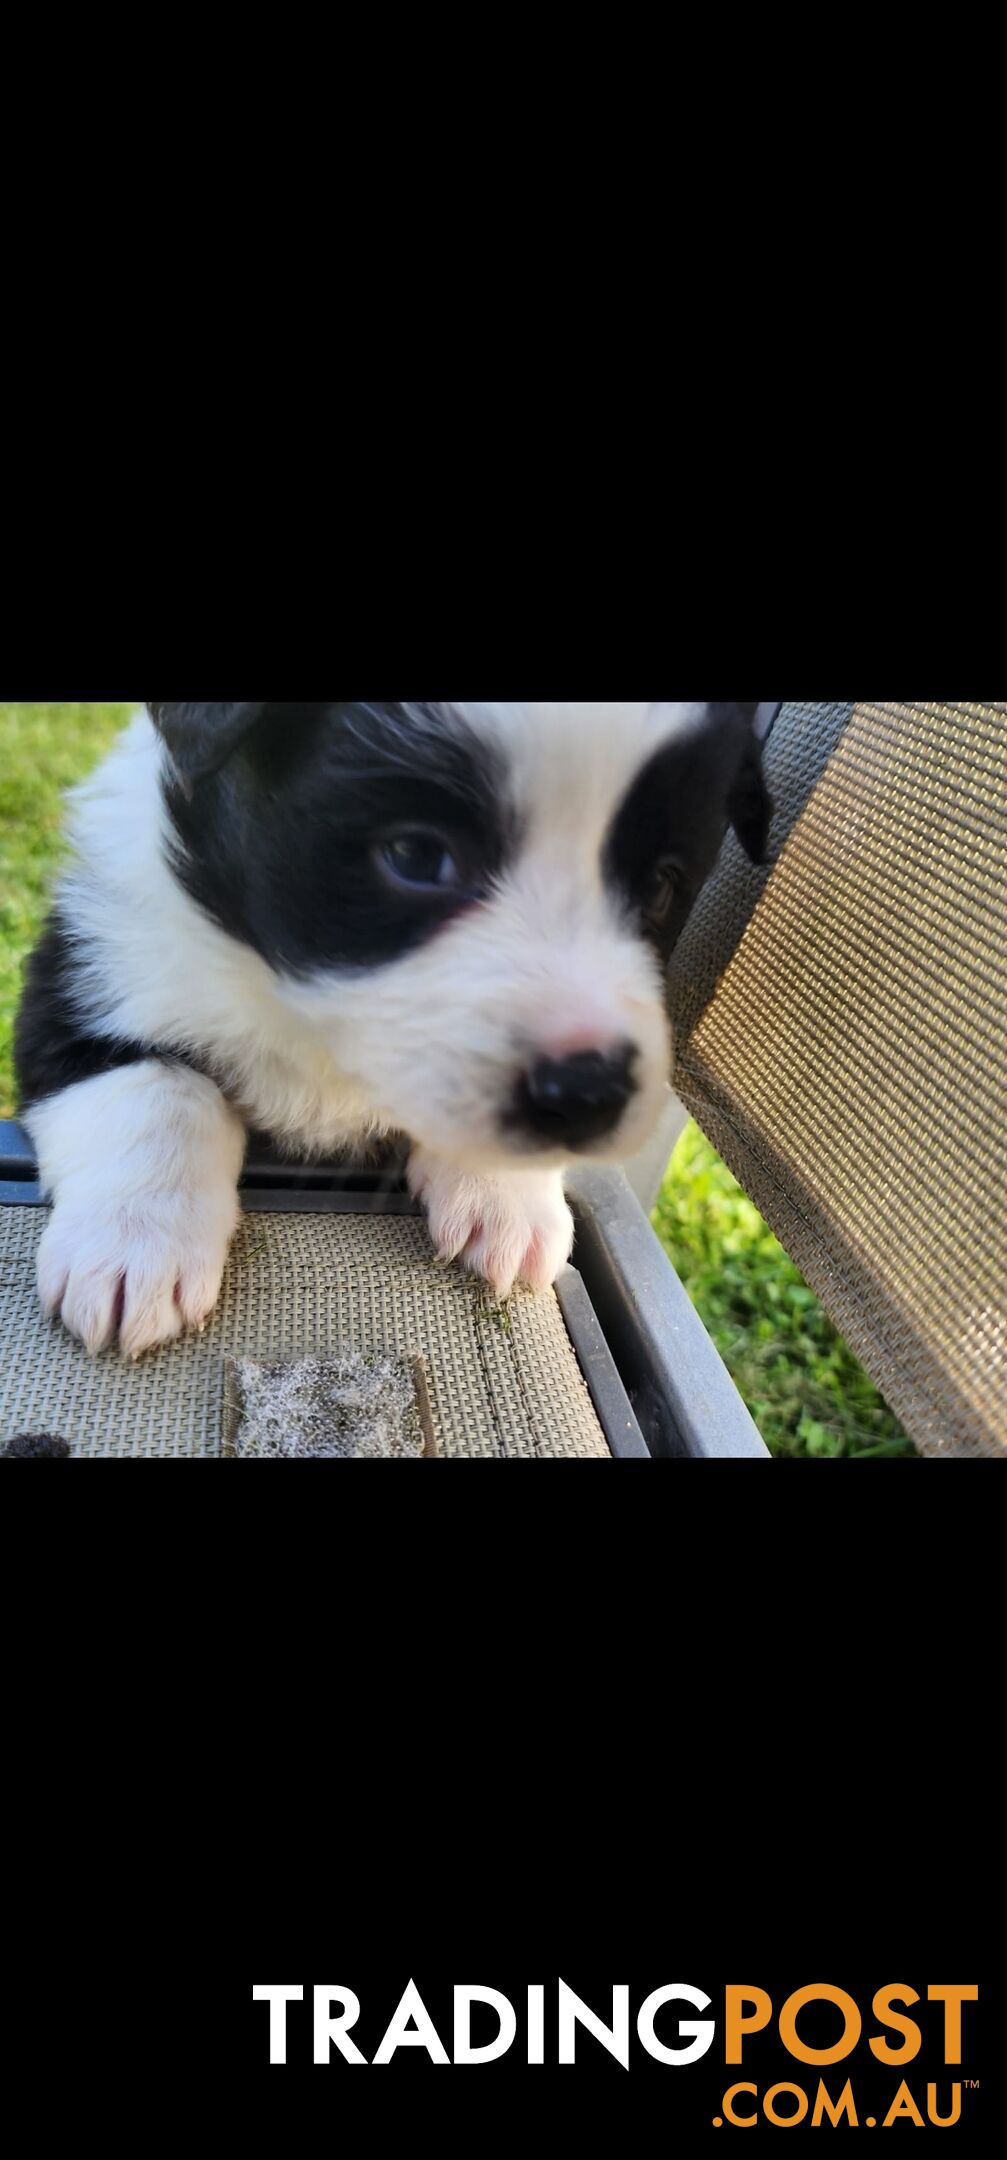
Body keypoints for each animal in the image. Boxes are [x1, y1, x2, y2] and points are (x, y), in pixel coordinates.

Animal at [13, 704, 769, 1347]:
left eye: (660, 888)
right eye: (414, 856)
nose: (587, 1095)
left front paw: (506, 1195)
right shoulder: (84, 967)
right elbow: (156, 1090)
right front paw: (135, 1246)